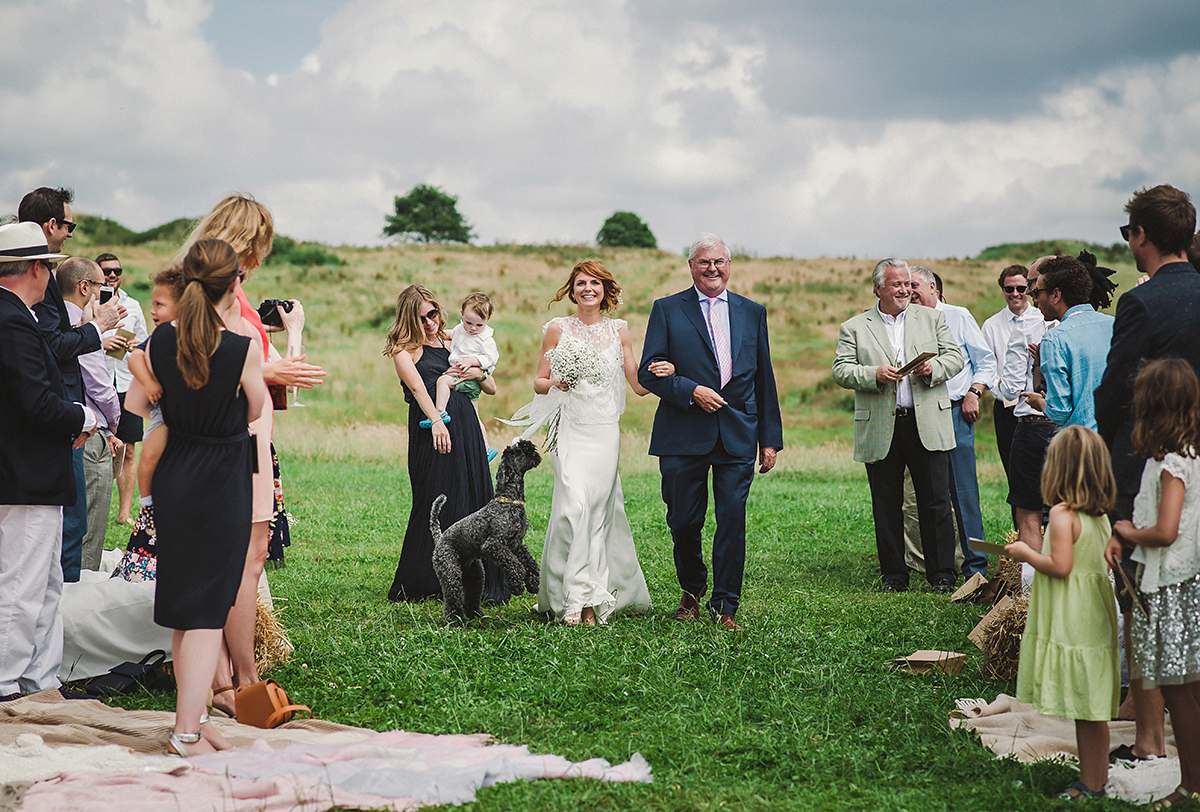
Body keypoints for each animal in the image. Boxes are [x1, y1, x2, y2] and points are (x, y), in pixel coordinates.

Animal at [432, 441, 544, 623]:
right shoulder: (493, 545)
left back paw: (477, 614)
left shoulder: (516, 544)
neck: (508, 501)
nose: (529, 445)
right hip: (450, 573)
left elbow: (530, 562)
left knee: (472, 596)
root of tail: (440, 538)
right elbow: (515, 564)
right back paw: (455, 620)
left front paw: (534, 582)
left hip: (476, 575)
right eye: (515, 452)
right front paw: (517, 585)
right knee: (452, 598)